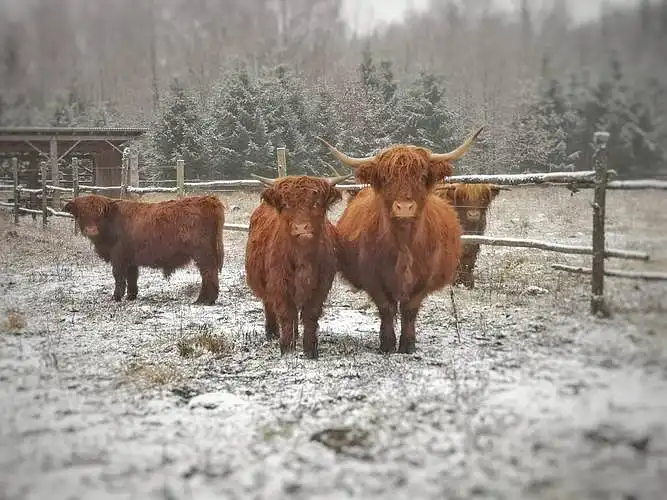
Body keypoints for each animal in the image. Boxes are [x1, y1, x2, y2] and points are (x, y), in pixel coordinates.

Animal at [63, 194, 224, 304]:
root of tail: (208, 199)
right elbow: (132, 277)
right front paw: (131, 296)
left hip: (203, 253)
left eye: (100, 213)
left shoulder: (118, 257)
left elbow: (118, 276)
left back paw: (204, 300)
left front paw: (116, 297)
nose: (91, 230)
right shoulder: (130, 260)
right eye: (82, 213)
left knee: (209, 273)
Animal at [243, 174, 352, 358]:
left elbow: (311, 315)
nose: (301, 228)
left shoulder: (321, 285)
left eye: (316, 203)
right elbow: (287, 314)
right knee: (269, 304)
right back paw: (272, 332)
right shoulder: (279, 283)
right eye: (286, 204)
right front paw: (287, 348)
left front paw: (310, 349)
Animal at [316, 129, 482, 356]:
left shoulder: (424, 278)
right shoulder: (373, 277)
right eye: (386, 178)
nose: (404, 207)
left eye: (421, 176)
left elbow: (409, 310)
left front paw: (408, 344)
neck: (404, 244)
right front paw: (387, 343)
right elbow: (386, 308)